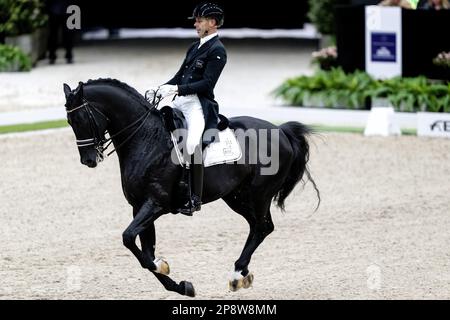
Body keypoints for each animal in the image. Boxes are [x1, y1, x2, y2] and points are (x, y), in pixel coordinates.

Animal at [63, 78, 320, 298]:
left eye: (82, 119)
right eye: (69, 122)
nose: (89, 160)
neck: (146, 139)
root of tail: (281, 131)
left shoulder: (155, 204)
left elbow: (130, 240)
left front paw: (163, 266)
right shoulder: (139, 207)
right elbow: (144, 252)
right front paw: (180, 285)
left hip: (258, 195)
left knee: (262, 227)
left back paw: (236, 275)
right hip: (237, 197)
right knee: (259, 227)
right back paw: (243, 275)